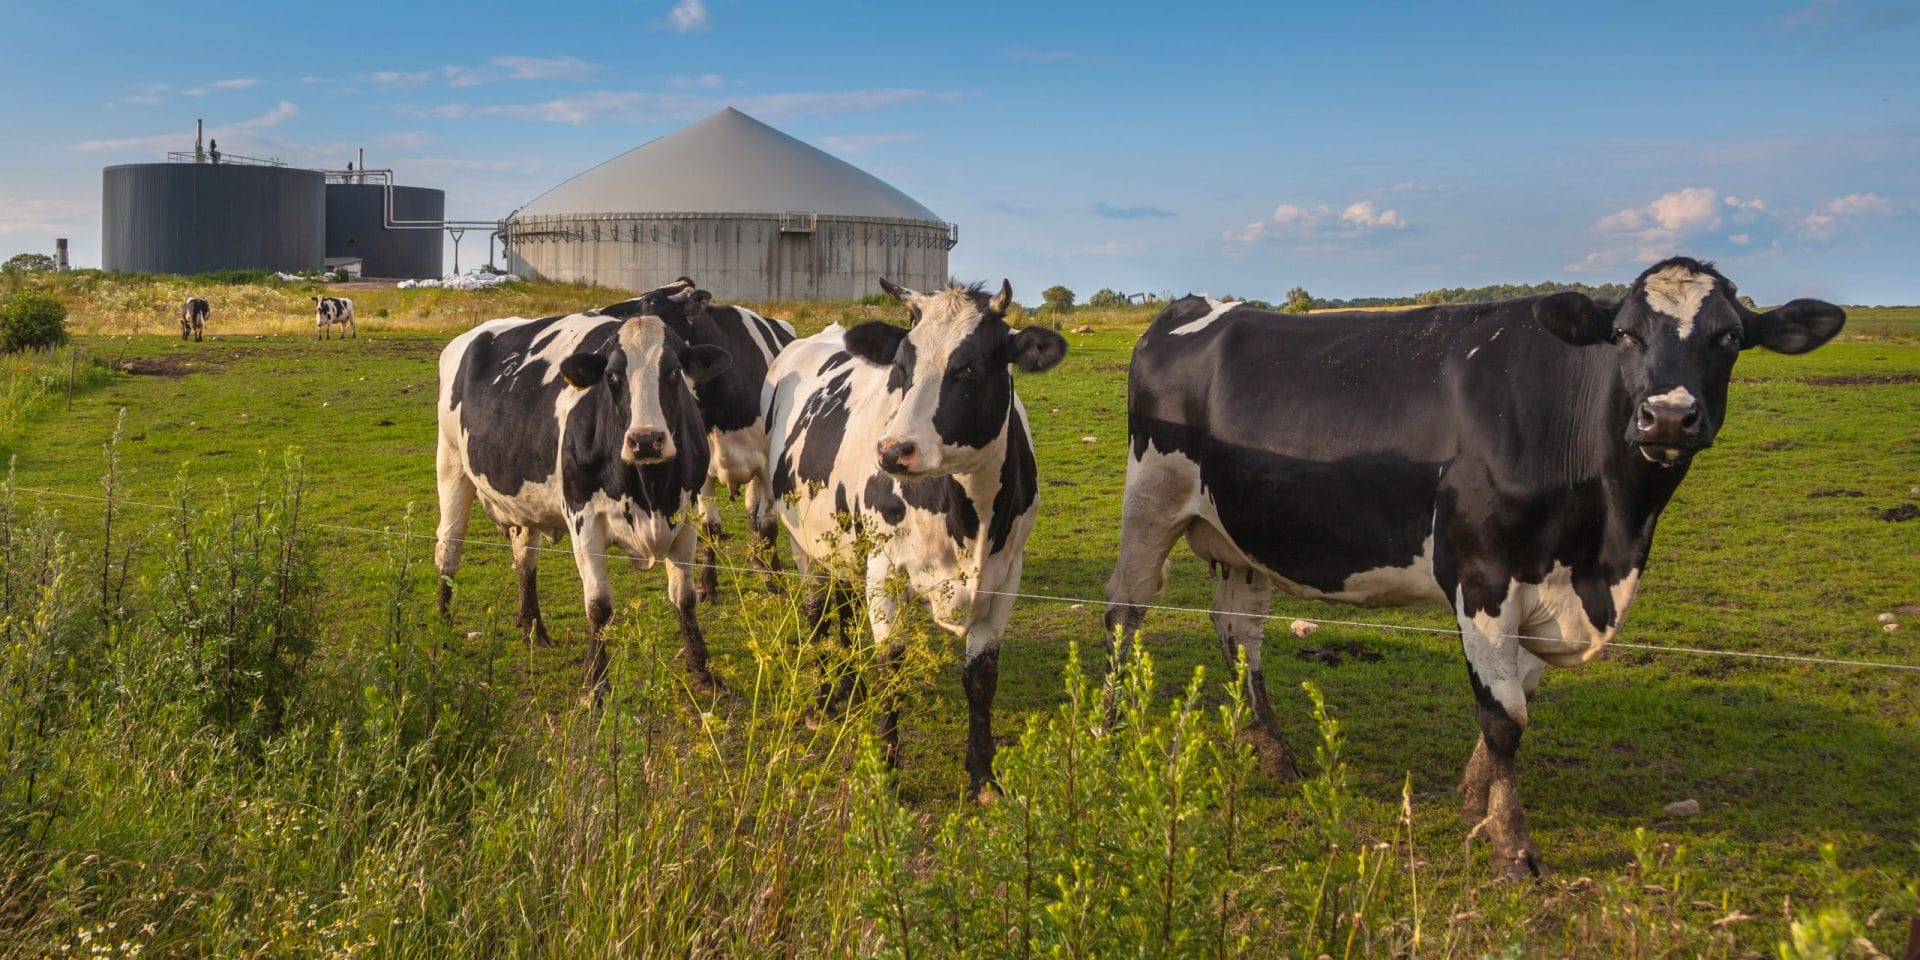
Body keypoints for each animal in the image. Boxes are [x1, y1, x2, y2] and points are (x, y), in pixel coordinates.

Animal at [433, 307, 732, 693]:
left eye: (674, 372)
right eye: (611, 376)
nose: (646, 441)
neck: (648, 491)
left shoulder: (686, 515)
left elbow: (685, 598)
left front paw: (704, 673)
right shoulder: (583, 519)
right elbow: (599, 604)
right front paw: (595, 683)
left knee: (524, 558)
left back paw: (533, 629)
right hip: (451, 463)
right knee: (449, 549)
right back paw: (443, 629)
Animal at [597, 278, 797, 601]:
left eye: (652, 302)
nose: (603, 316)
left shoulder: (768, 465)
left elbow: (767, 523)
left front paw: (774, 580)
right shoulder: (703, 470)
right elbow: (709, 527)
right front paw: (706, 584)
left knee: (754, 512)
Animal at [764, 279, 1067, 795]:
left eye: (971, 367)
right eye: (901, 368)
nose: (893, 450)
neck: (968, 521)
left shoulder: (1006, 577)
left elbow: (981, 678)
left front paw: (983, 776)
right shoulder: (885, 572)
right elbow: (892, 670)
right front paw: (885, 774)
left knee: (844, 607)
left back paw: (850, 686)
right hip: (805, 542)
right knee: (818, 613)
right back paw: (824, 699)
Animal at [1101, 257, 1844, 878]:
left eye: (1729, 337)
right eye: (1625, 335)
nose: (1666, 417)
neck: (1605, 546)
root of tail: (1196, 305)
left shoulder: (1548, 589)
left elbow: (1521, 695)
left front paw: (1473, 800)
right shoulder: (1482, 573)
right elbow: (1505, 715)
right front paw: (1511, 845)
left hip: (1244, 535)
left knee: (1239, 633)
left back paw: (1273, 753)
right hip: (1152, 501)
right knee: (1124, 610)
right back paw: (1106, 730)